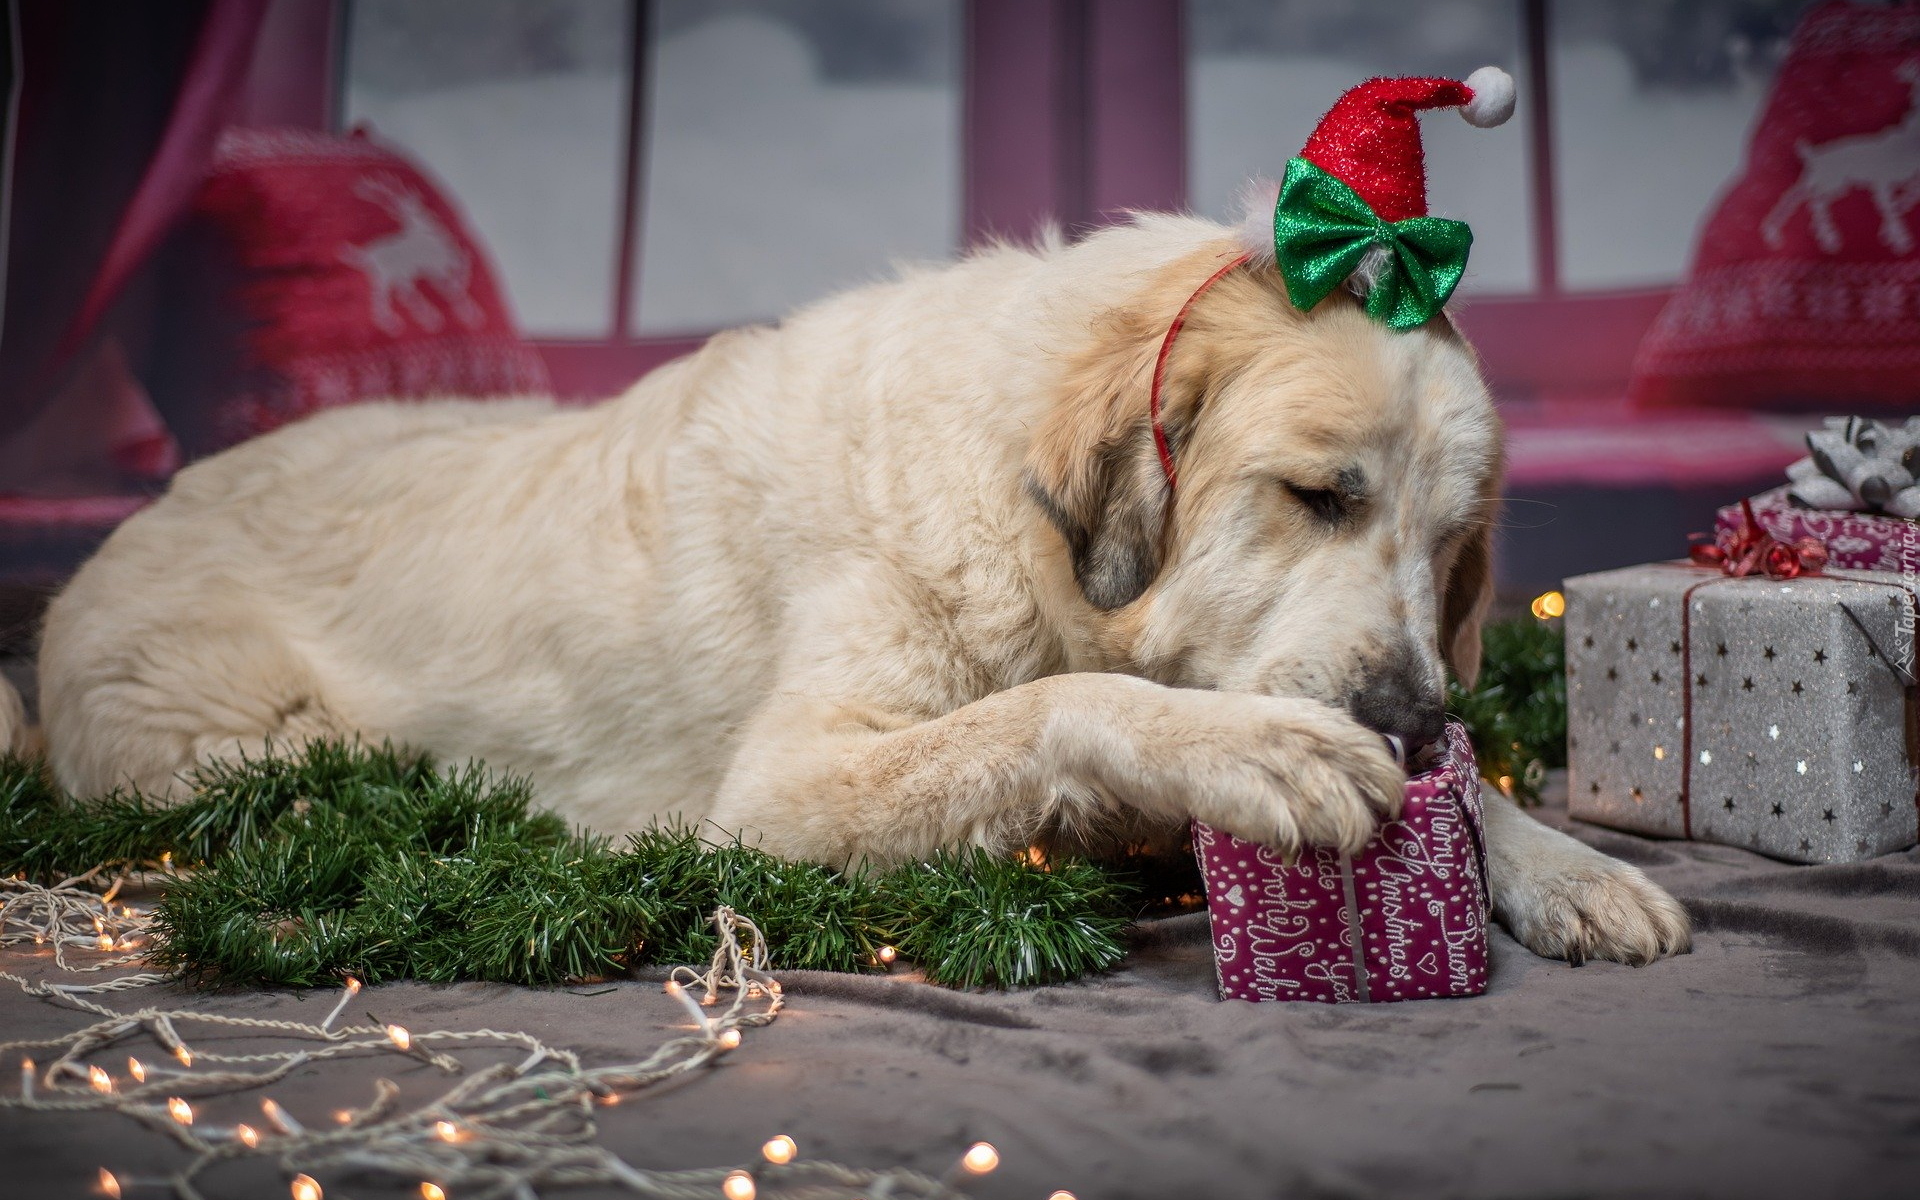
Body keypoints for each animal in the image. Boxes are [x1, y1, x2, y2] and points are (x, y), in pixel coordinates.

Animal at [33, 213, 1697, 963]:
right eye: (1320, 496)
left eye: (1450, 549)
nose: (1410, 720)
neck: (1032, 534)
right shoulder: (782, 791)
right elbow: (1060, 703)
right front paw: (1253, 752)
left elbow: (1468, 791)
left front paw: (1556, 858)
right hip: (240, 739)